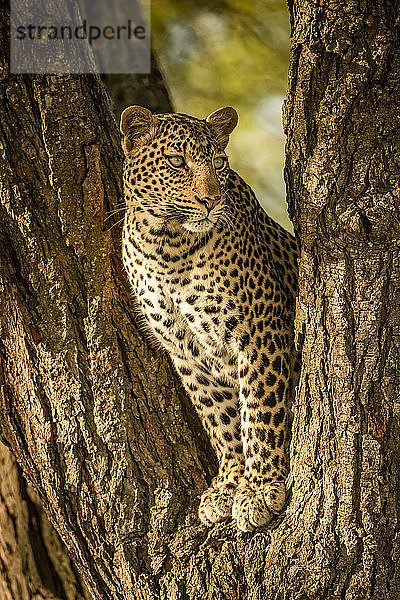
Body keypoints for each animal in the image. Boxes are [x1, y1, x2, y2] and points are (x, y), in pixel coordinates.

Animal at [120, 105, 298, 532]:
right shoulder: (185, 349)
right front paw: (229, 484)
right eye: (176, 162)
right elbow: (220, 418)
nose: (210, 201)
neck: (166, 244)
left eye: (218, 162)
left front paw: (258, 489)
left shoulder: (259, 329)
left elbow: (259, 411)